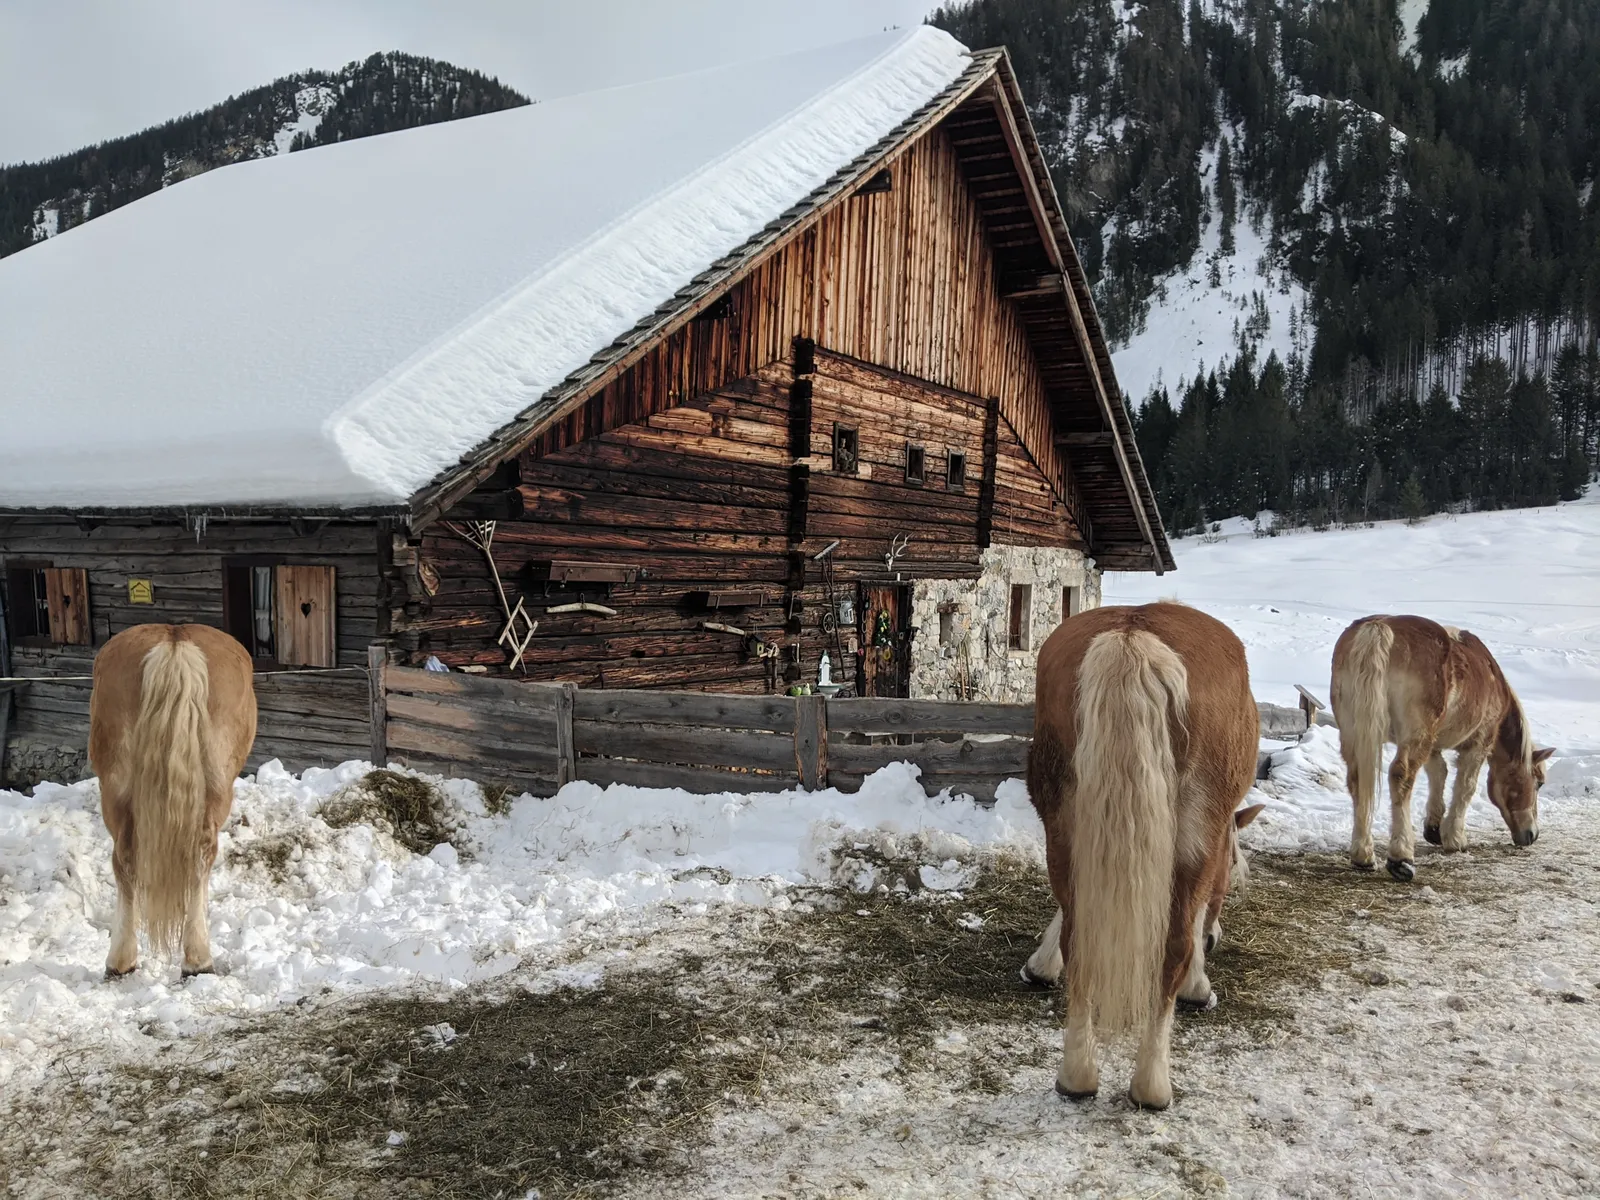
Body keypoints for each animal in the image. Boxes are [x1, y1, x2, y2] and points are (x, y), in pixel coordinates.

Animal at [1330, 615, 1553, 882]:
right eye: (1539, 783)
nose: (1532, 835)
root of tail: (1378, 628)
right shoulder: (1478, 744)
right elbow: (1465, 788)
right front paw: (1455, 838)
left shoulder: (1433, 745)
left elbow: (1439, 773)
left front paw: (1434, 828)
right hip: (1414, 737)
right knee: (1401, 777)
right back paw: (1401, 858)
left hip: (1354, 734)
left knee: (1358, 780)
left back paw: (1362, 854)